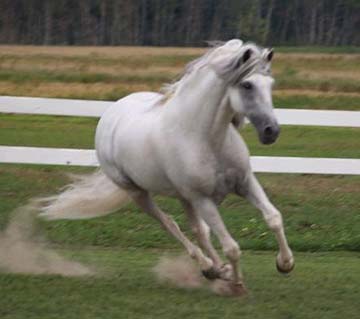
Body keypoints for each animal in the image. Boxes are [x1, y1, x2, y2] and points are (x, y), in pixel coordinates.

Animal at [40, 40, 294, 296]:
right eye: (247, 85)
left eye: (271, 84)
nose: (271, 131)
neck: (205, 137)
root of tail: (112, 113)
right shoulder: (202, 198)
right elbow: (231, 246)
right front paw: (237, 285)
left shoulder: (245, 182)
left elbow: (274, 217)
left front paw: (284, 263)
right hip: (139, 193)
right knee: (170, 223)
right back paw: (210, 268)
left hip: (184, 196)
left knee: (200, 231)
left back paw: (216, 270)